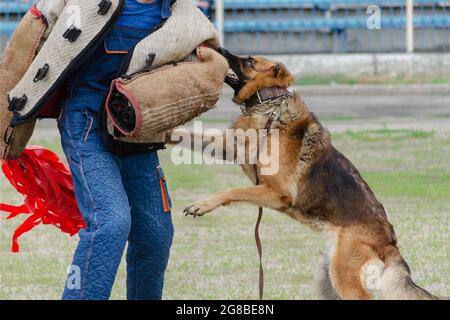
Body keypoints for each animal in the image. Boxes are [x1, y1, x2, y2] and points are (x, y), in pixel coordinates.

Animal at [169, 48, 436, 298]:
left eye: (249, 61)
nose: (220, 49)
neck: (268, 107)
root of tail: (390, 242)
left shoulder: (276, 192)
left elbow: (232, 190)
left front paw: (202, 205)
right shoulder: (229, 148)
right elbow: (188, 135)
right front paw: (165, 133)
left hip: (344, 279)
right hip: (327, 280)